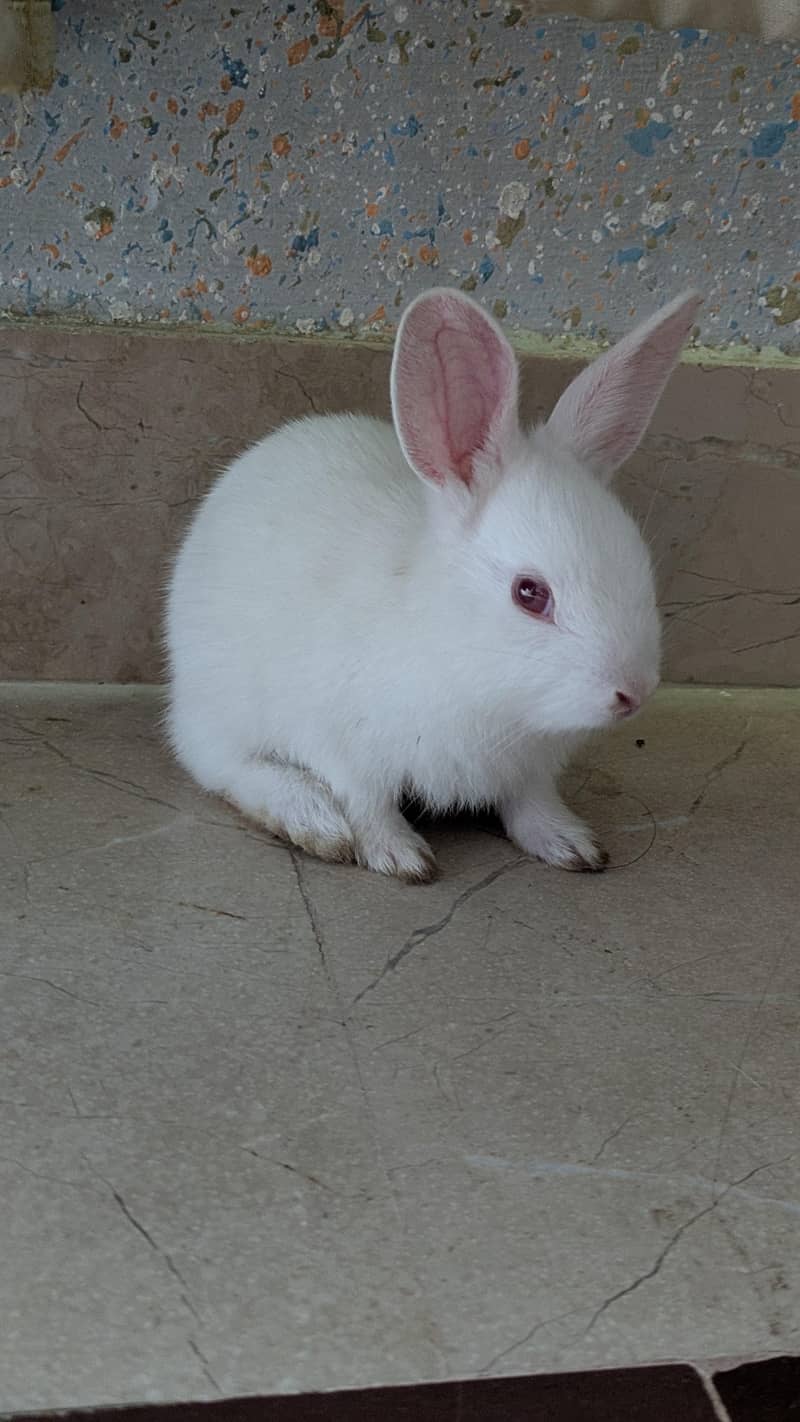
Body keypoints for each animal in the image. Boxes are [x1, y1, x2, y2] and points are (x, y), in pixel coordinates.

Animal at [165, 285, 701, 882]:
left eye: (639, 562)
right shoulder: (342, 747)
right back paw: (311, 819)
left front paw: (571, 845)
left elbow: (532, 804)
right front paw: (400, 857)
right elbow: (367, 804)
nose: (634, 693)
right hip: (222, 705)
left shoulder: (529, 771)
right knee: (220, 765)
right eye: (529, 593)